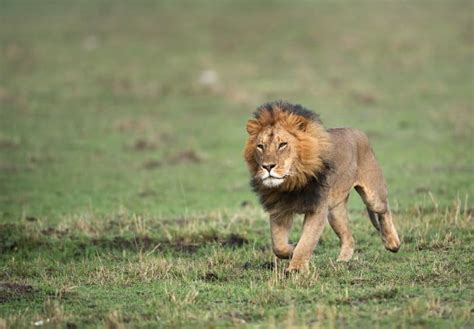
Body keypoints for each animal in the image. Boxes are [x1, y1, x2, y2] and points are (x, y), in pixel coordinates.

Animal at [244, 100, 400, 272]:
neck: (292, 182)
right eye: (260, 146)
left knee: (384, 209)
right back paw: (342, 262)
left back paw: (393, 243)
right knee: (349, 237)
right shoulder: (280, 210)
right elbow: (278, 246)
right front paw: (292, 249)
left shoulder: (317, 209)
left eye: (282, 144)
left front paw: (296, 268)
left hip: (373, 196)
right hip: (335, 213)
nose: (267, 166)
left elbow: (306, 242)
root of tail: (359, 132)